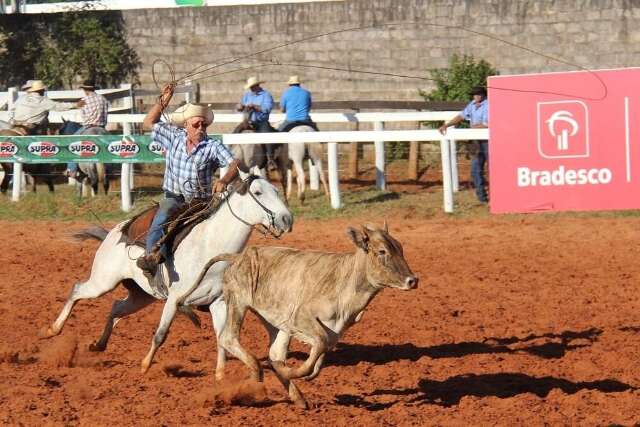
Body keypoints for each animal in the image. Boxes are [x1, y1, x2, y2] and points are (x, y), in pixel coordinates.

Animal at [37, 171, 292, 378]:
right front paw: (144, 366)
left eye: (276, 191)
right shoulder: (174, 299)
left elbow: (222, 339)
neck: (209, 246)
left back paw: (99, 345)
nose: (287, 219)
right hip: (103, 282)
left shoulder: (217, 302)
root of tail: (115, 231)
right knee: (77, 290)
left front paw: (220, 376)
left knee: (117, 308)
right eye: (258, 192)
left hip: (140, 296)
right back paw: (52, 330)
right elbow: (160, 334)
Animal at [192, 224, 418, 408]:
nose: (413, 280)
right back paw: (256, 376)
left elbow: (321, 351)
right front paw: (293, 372)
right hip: (238, 302)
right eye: (382, 251)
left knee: (274, 354)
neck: (346, 281)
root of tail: (239, 257)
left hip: (277, 320)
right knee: (228, 338)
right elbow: (319, 344)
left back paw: (298, 398)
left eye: (400, 249)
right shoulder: (302, 317)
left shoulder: (329, 330)